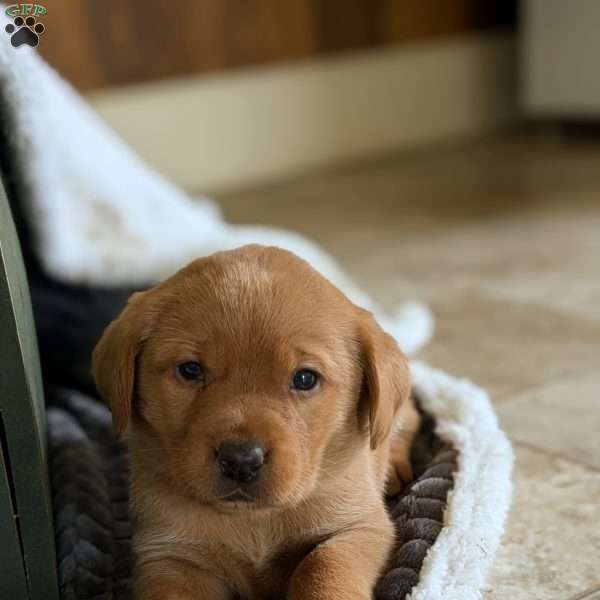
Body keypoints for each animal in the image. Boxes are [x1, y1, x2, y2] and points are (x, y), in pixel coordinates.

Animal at [94, 245, 422, 600]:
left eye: (305, 378)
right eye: (191, 370)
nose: (241, 460)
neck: (253, 520)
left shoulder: (357, 526)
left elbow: (322, 564)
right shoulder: (169, 554)